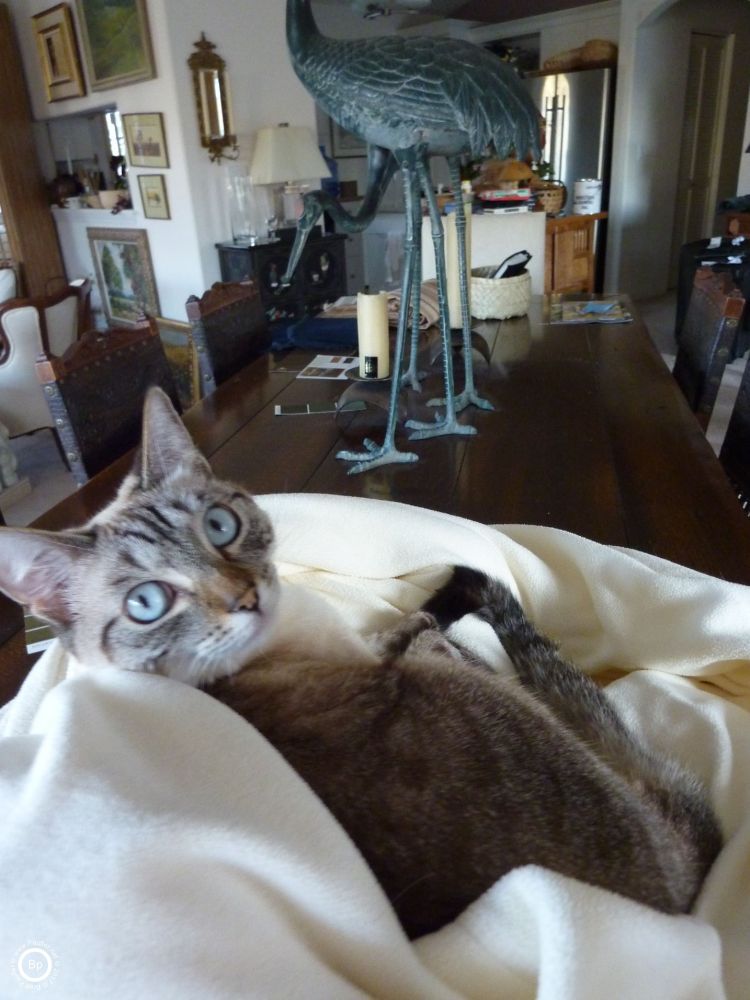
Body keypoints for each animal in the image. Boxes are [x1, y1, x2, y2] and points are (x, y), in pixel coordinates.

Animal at [0, 384, 724, 936]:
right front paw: (444, 608)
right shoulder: (419, 655)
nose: (244, 596)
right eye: (148, 603)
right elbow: (440, 629)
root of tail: (675, 897)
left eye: (219, 526)